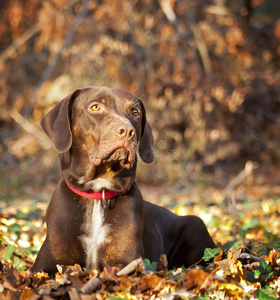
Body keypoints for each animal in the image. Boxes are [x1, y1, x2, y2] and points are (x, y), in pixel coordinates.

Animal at [33, 86, 217, 274]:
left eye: (135, 112)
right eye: (95, 107)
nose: (128, 132)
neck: (99, 193)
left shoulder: (127, 260)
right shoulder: (46, 264)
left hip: (196, 223)